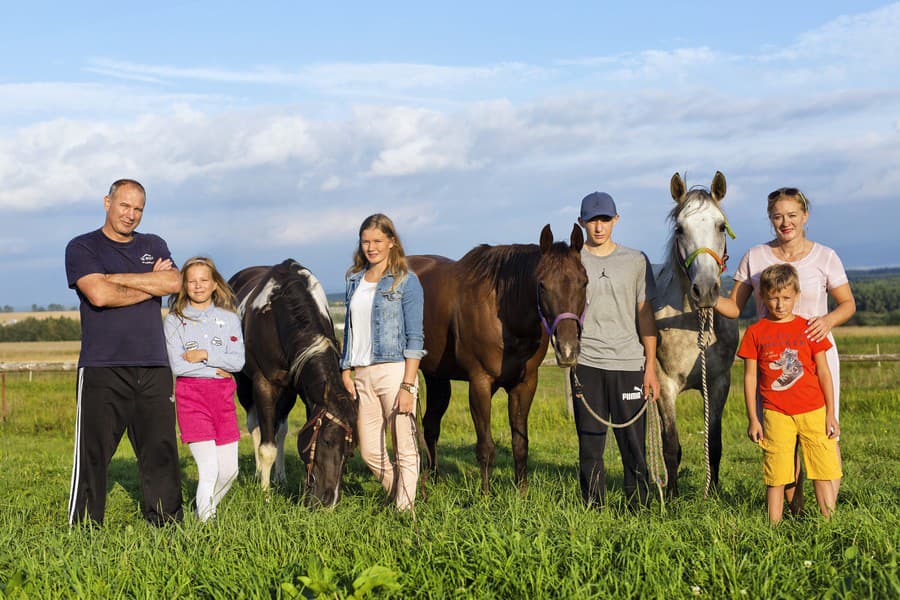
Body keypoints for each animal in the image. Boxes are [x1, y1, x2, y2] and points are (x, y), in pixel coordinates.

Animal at [229, 258, 356, 506]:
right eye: (327, 441)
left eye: (350, 450)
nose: (329, 501)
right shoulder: (264, 384)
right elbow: (266, 447)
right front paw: (265, 496)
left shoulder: (299, 390)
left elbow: (281, 435)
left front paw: (283, 482)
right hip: (245, 387)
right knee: (254, 426)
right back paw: (258, 474)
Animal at [410, 225, 592, 492]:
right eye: (542, 285)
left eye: (584, 282)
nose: (568, 350)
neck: (506, 318)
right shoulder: (480, 383)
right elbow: (486, 447)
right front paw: (485, 496)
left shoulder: (524, 384)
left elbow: (520, 444)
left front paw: (522, 493)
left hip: (436, 377)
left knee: (431, 426)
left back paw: (433, 480)